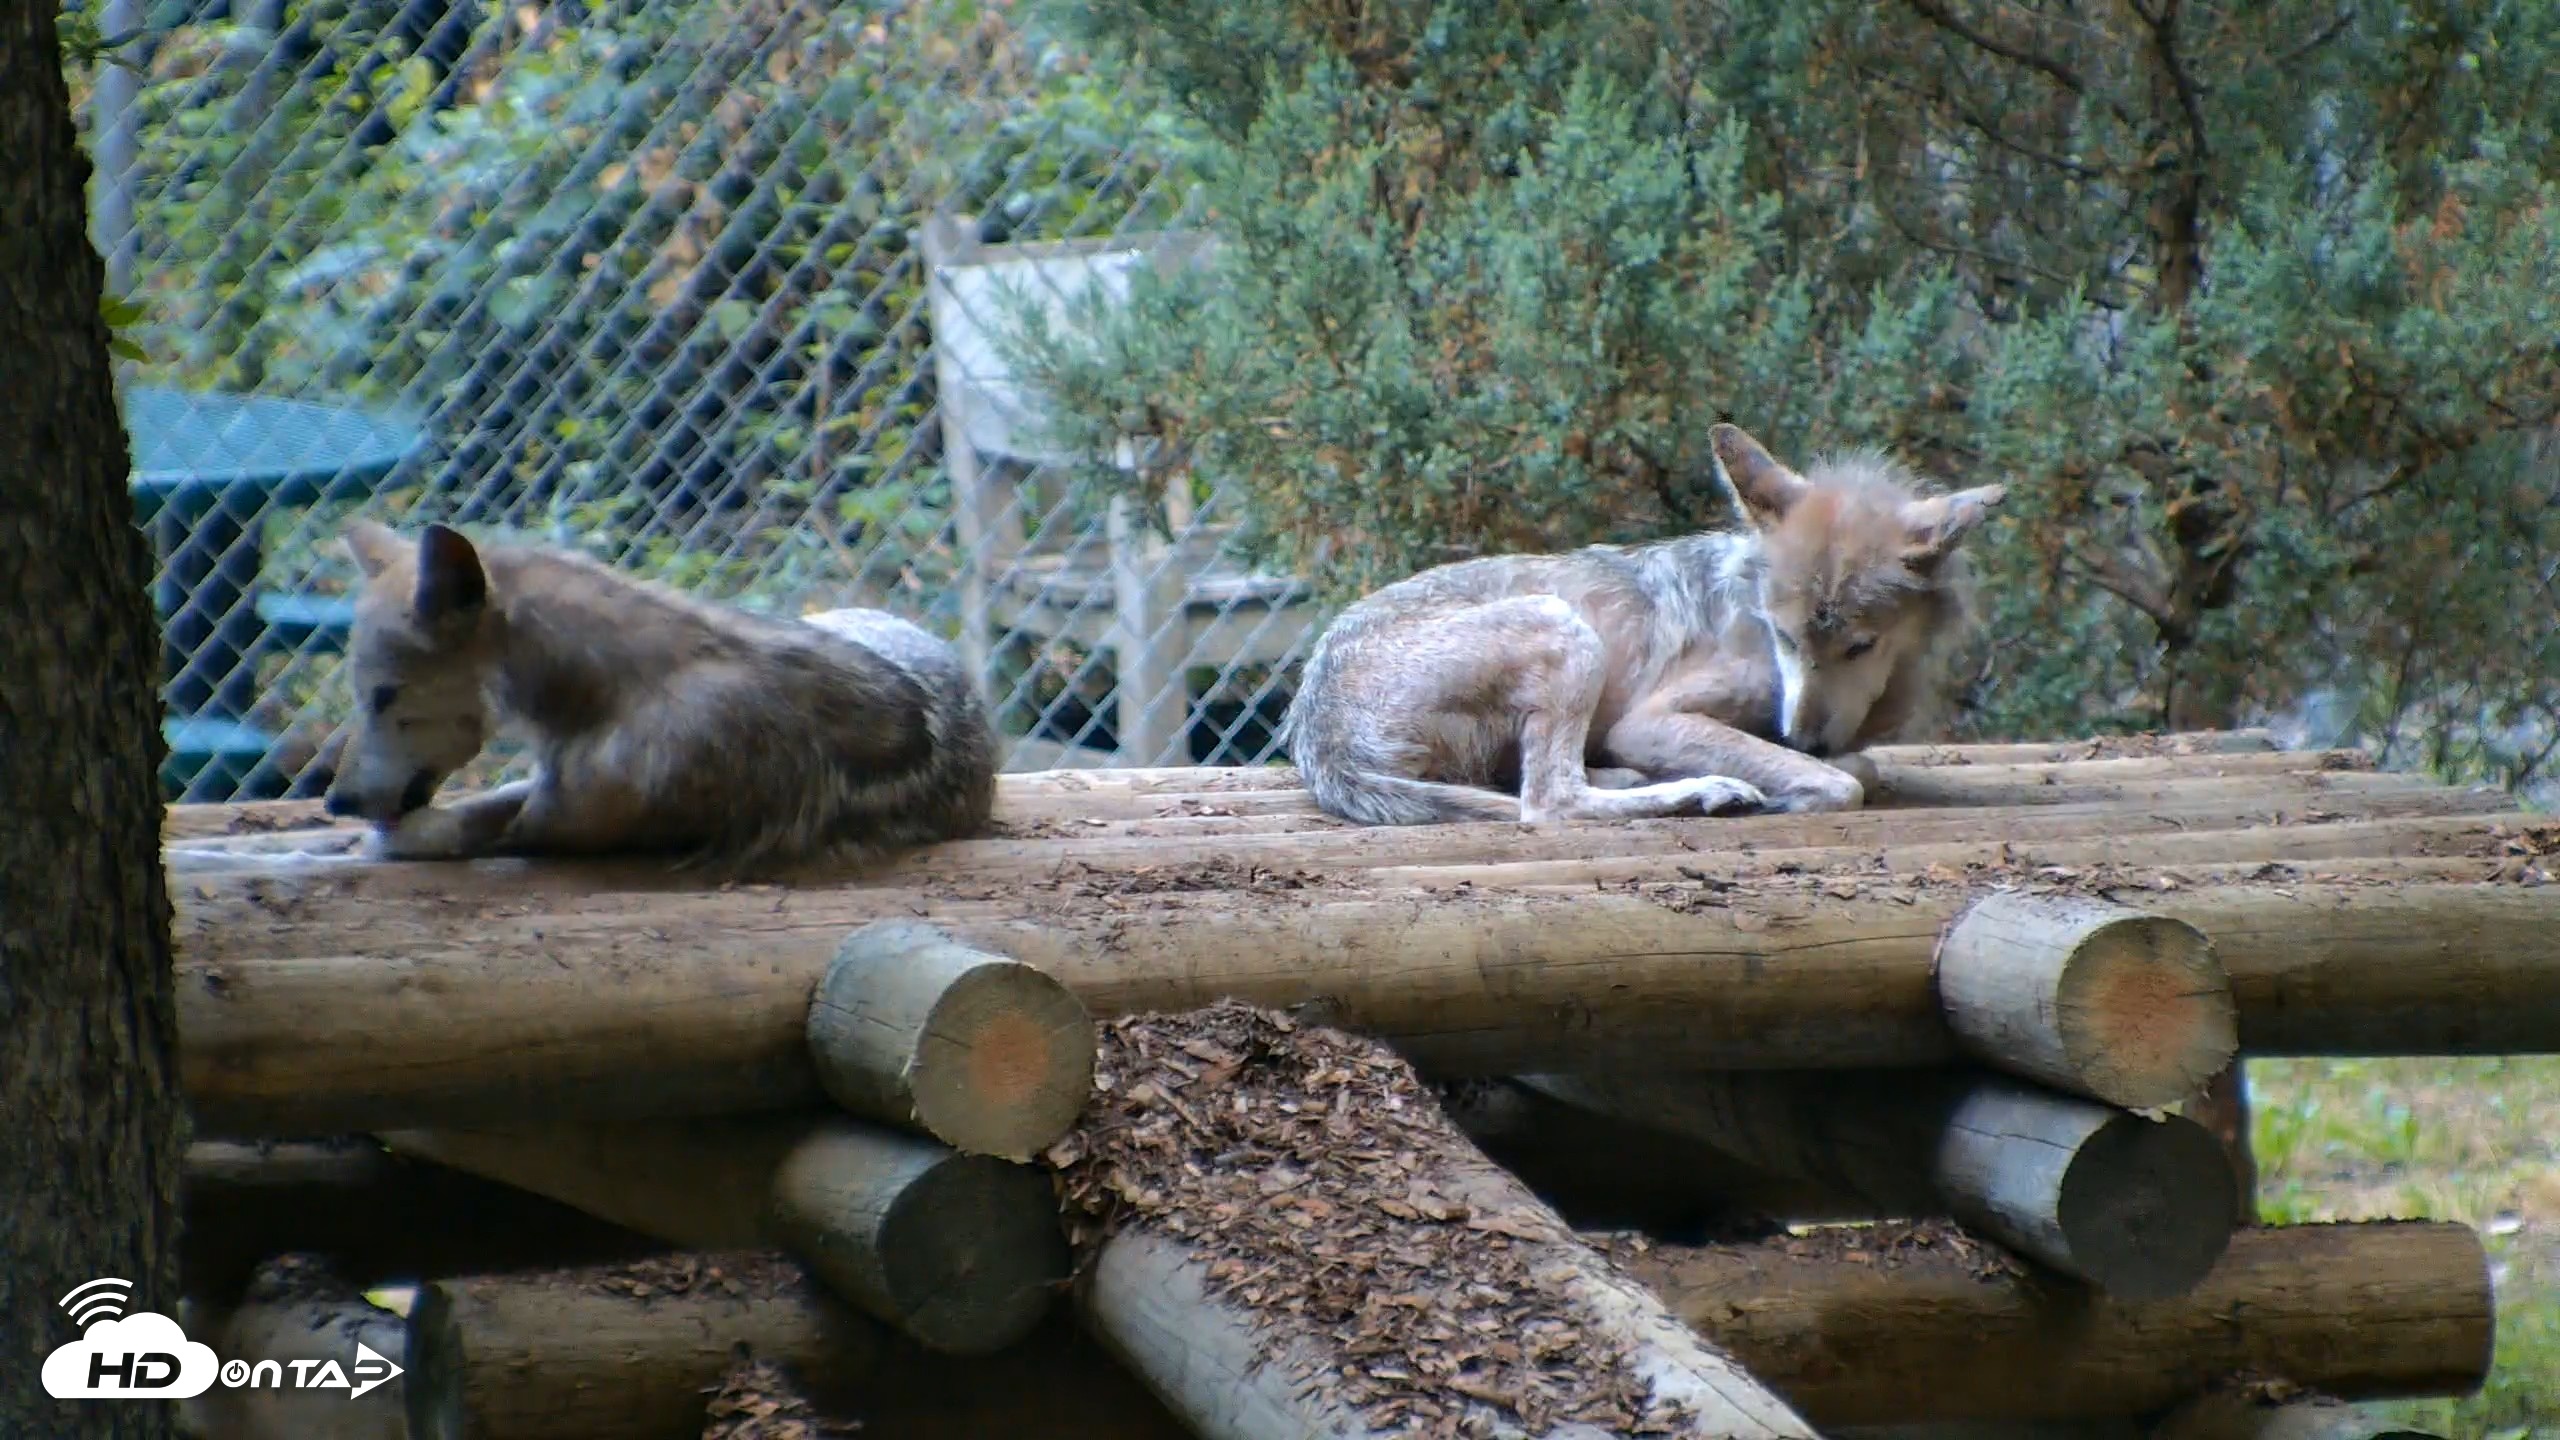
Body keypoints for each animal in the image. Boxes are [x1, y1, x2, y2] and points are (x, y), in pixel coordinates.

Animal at [318, 520, 1001, 873]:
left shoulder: (553, 827)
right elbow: (468, 813)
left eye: (381, 697)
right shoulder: (540, 791)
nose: (334, 801)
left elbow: (437, 832)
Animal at [1278, 422, 2005, 825]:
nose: (1798, 737)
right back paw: (1702, 792)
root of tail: (1317, 730)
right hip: (1565, 630)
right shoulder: (1651, 718)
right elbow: (1844, 781)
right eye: (1784, 636)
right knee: (1547, 804)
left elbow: (1860, 764)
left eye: (1860, 645)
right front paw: (1793, 784)